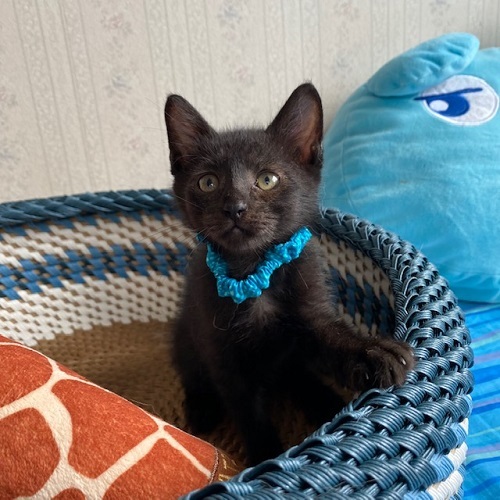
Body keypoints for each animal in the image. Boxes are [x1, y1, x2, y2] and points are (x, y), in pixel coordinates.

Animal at [164, 83, 414, 465]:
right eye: (208, 182)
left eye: (267, 179)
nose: (235, 208)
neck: (253, 271)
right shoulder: (221, 351)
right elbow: (247, 411)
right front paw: (266, 457)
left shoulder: (312, 314)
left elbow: (333, 337)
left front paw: (374, 352)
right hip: (185, 336)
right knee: (193, 373)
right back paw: (202, 409)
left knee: (298, 375)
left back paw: (325, 400)